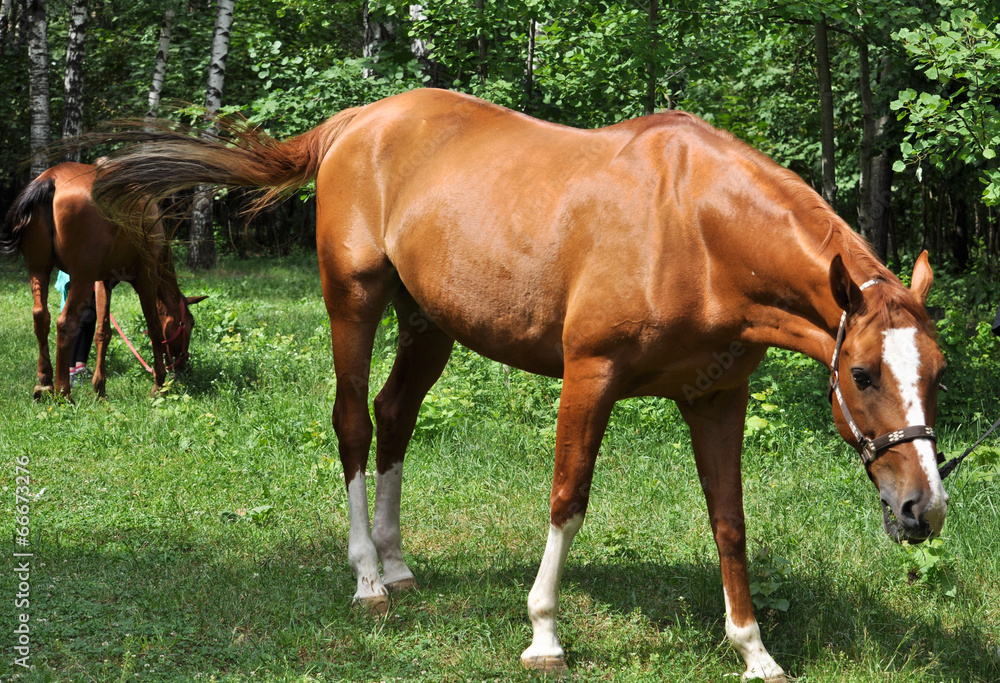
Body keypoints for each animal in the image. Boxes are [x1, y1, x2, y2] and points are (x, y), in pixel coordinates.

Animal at [1, 162, 206, 400]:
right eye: (190, 323)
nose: (183, 368)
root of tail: (52, 178)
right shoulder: (146, 278)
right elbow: (154, 327)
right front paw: (160, 383)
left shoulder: (102, 283)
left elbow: (103, 333)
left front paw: (100, 387)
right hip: (81, 277)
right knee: (66, 323)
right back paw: (63, 392)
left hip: (39, 269)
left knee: (41, 316)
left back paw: (45, 383)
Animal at [91, 89, 948, 681]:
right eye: (862, 373)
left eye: (936, 372)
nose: (924, 508)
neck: (696, 228)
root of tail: (358, 122)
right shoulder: (589, 377)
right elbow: (568, 498)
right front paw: (543, 632)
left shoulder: (716, 399)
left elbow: (729, 520)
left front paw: (753, 649)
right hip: (353, 304)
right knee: (354, 423)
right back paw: (368, 576)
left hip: (429, 322)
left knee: (394, 416)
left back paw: (398, 565)